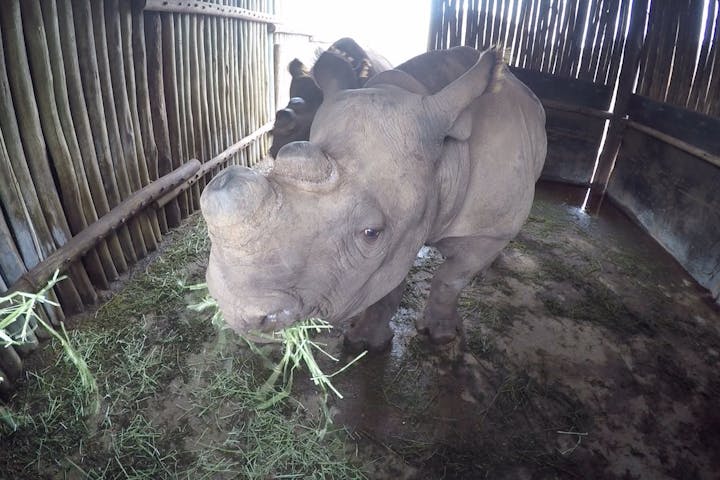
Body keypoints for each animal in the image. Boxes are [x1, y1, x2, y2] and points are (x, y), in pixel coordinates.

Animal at [202, 47, 544, 350]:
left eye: (371, 233)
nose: (236, 311)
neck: (446, 160)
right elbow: (386, 286)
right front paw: (365, 342)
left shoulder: (485, 231)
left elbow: (450, 280)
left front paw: (442, 337)